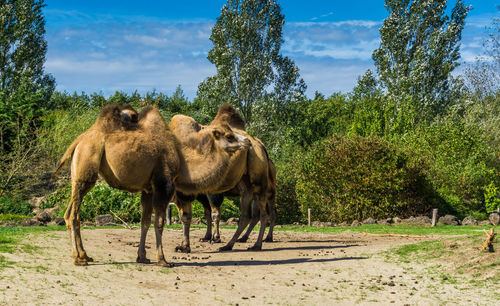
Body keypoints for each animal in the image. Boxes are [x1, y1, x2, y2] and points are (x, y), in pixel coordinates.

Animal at [54, 103, 250, 266]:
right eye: (230, 136)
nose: (247, 141)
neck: (182, 161)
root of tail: (78, 141)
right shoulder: (163, 185)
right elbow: (160, 222)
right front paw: (162, 260)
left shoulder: (148, 189)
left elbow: (145, 221)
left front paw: (142, 257)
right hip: (86, 164)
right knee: (73, 215)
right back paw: (78, 259)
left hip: (78, 173)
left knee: (70, 212)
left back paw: (85, 255)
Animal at [170, 104, 276, 252]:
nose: (246, 142)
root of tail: (259, 145)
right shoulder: (197, 193)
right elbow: (204, 213)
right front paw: (204, 238)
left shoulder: (201, 192)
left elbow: (205, 214)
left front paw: (213, 238)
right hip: (248, 187)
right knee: (248, 215)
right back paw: (232, 243)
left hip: (262, 185)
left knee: (265, 214)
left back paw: (258, 243)